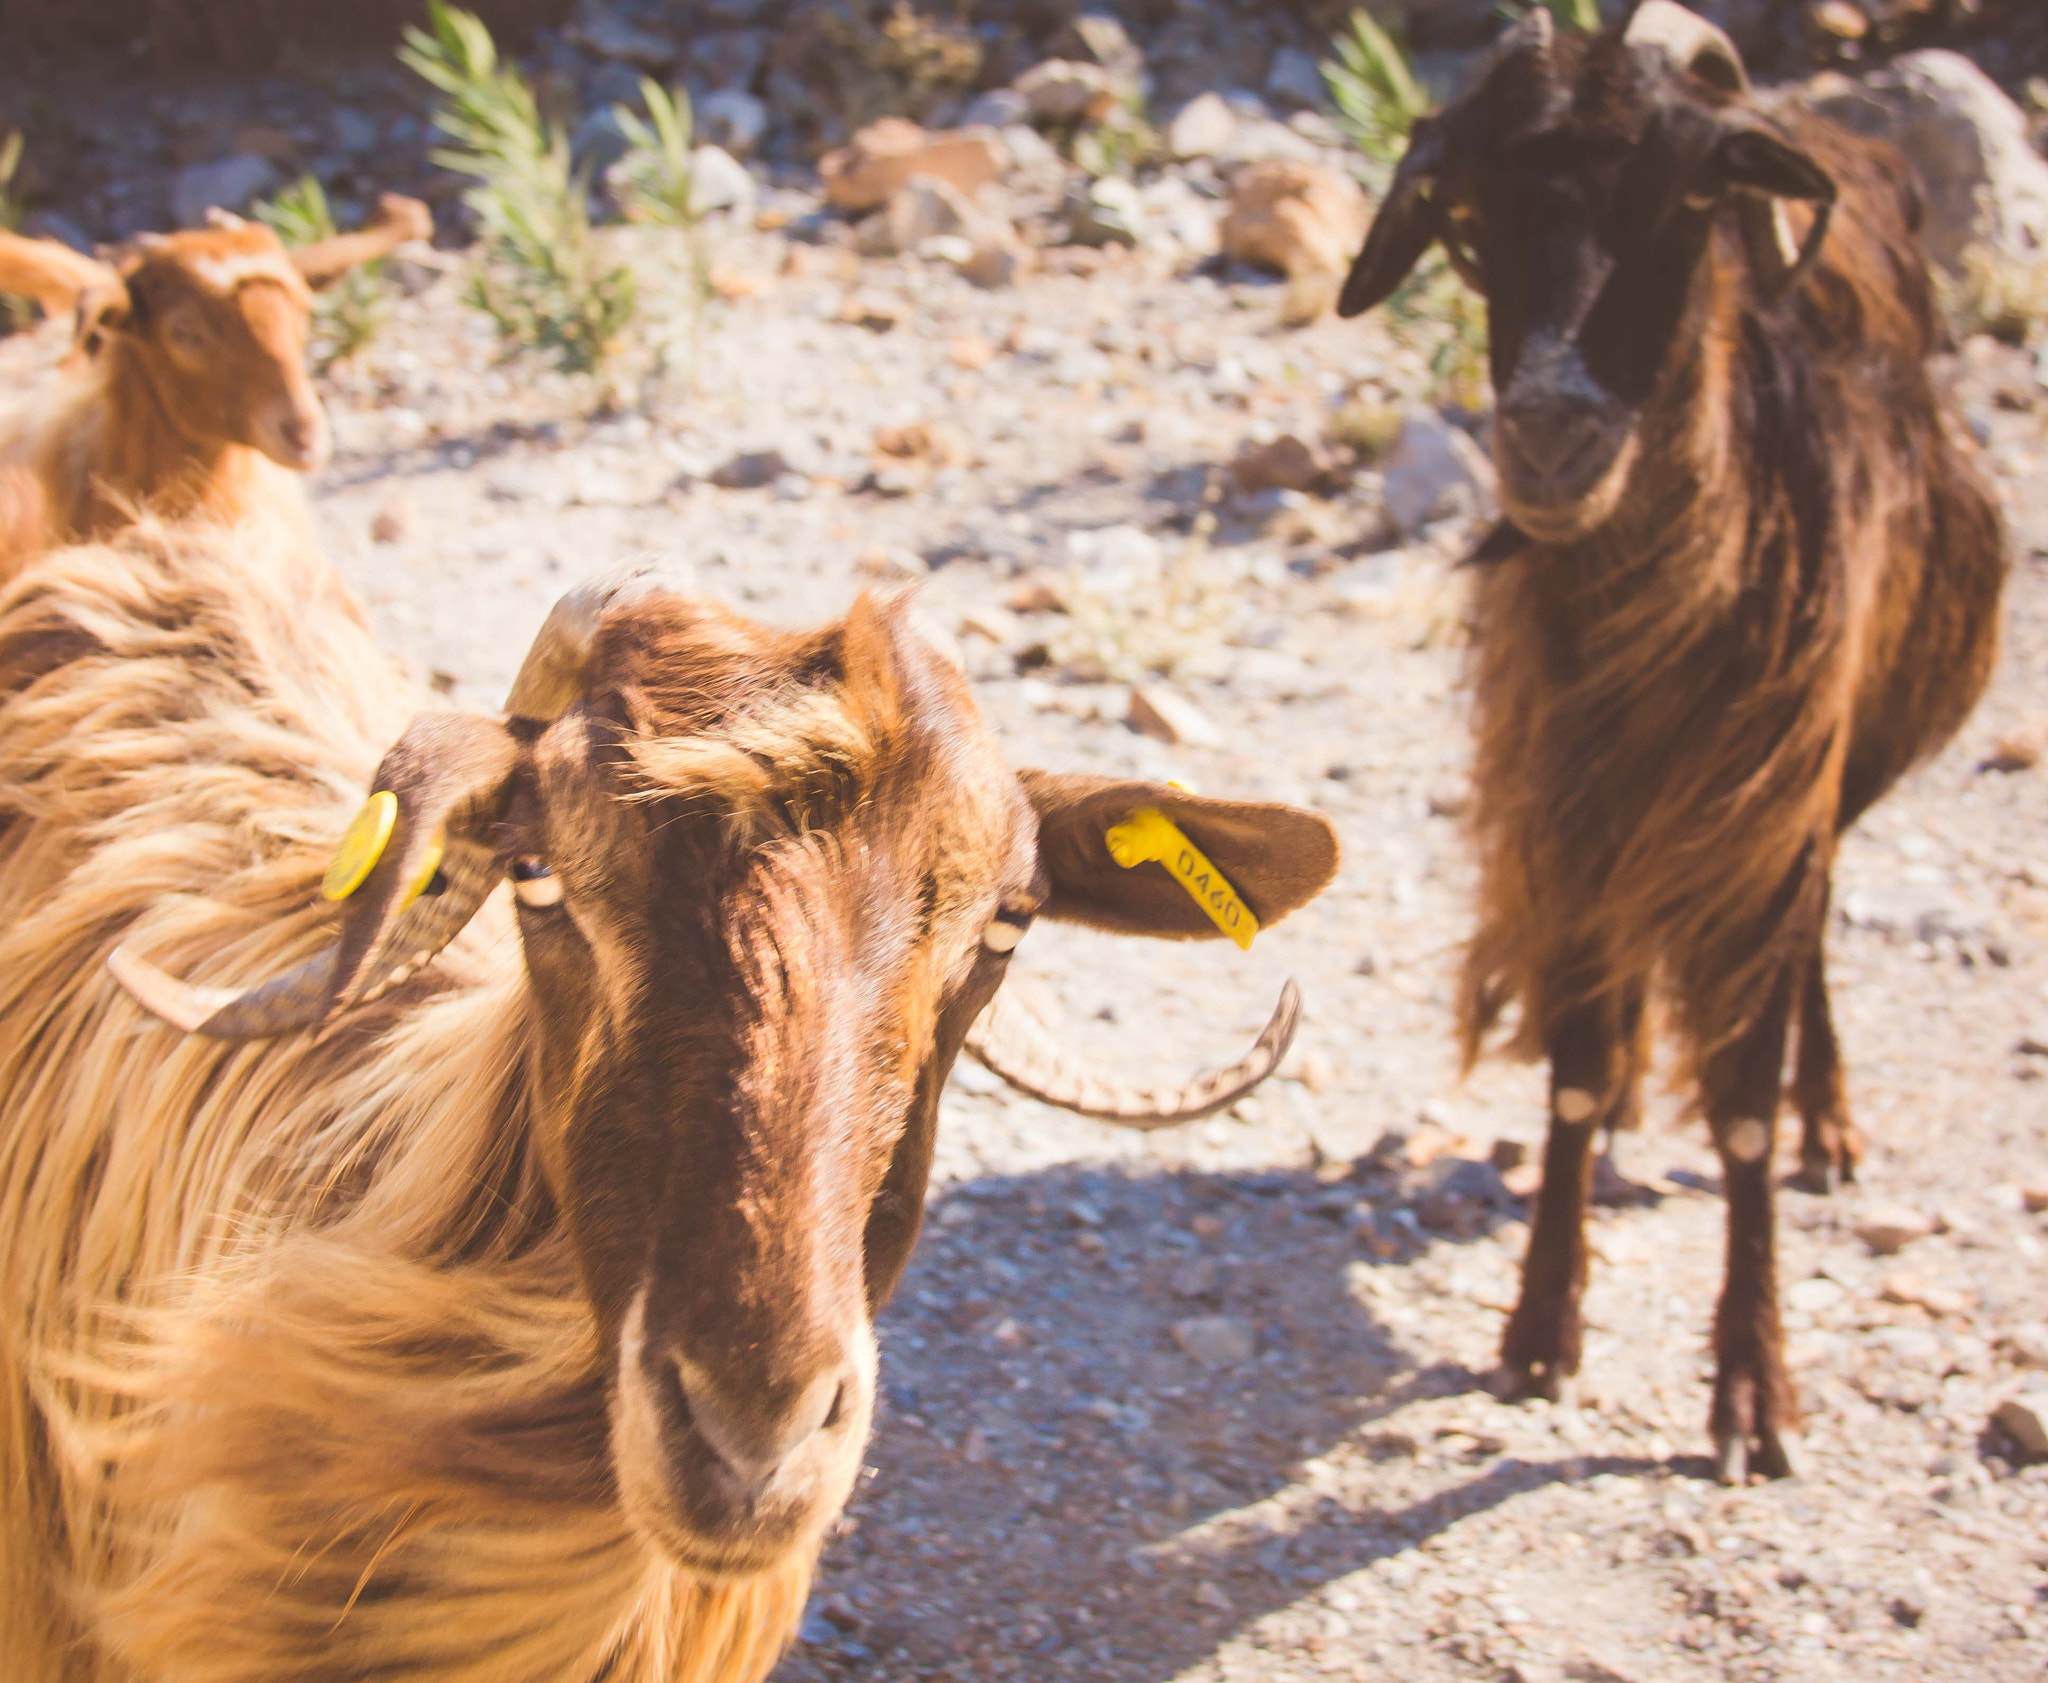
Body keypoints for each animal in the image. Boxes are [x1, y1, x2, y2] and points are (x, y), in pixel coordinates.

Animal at [1335, 0, 2007, 1482]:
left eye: (1692, 195)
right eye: (1464, 210)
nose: (1549, 433)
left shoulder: (1766, 807)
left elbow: (1744, 1097)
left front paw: (1754, 1392)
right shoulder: (1573, 818)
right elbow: (1578, 1079)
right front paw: (1540, 1326)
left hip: (1835, 781)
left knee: (1811, 944)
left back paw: (1829, 1119)